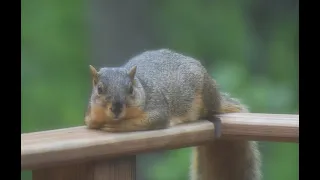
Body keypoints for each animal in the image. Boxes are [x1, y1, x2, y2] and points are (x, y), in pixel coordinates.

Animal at [84, 48, 262, 180]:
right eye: (99, 89)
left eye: (130, 89)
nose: (117, 108)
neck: (143, 86)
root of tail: (217, 98)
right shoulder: (90, 115)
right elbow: (91, 122)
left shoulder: (158, 109)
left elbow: (150, 121)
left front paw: (117, 126)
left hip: (206, 92)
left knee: (211, 110)